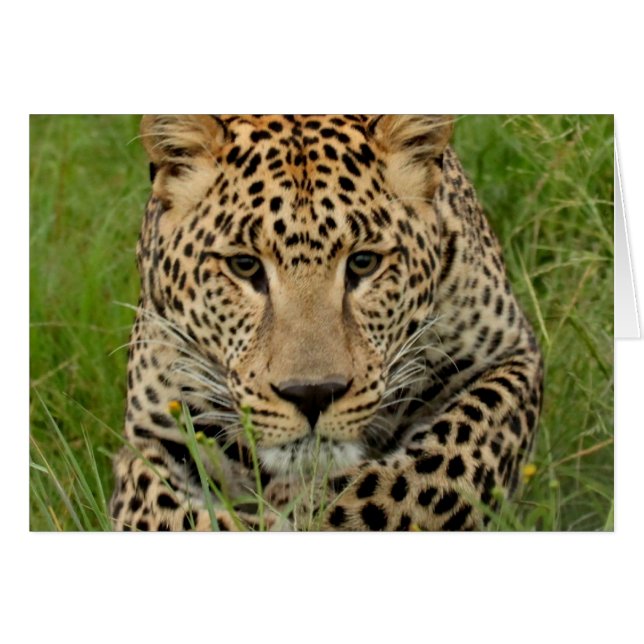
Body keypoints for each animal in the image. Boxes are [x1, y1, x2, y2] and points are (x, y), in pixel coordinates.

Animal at [109, 114, 543, 531]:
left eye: (364, 262)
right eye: (244, 265)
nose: (312, 394)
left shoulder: (512, 355)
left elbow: (433, 468)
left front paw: (303, 509)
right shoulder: (154, 435)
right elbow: (171, 517)